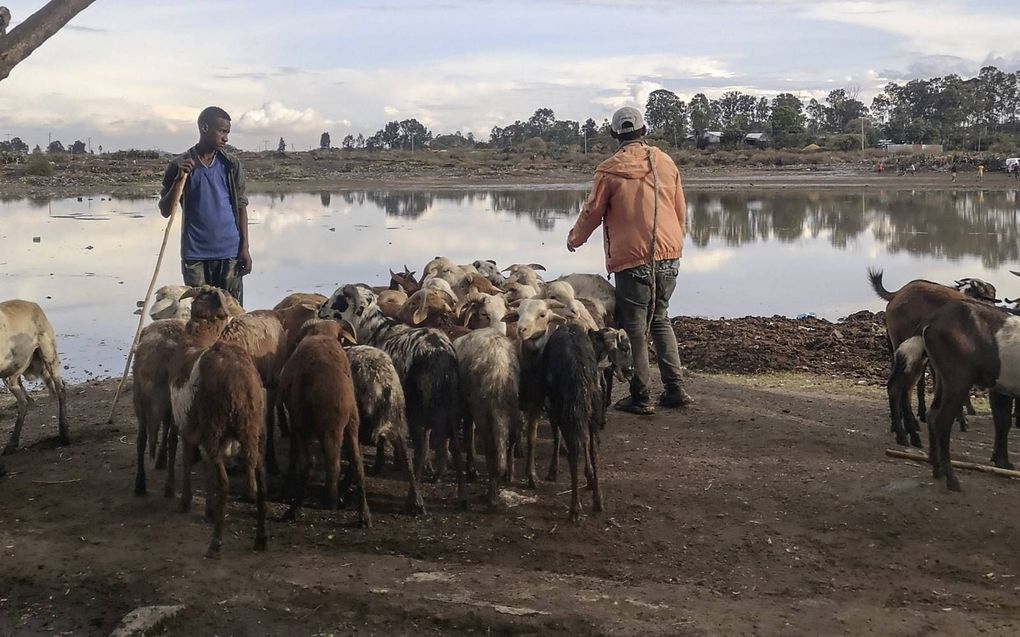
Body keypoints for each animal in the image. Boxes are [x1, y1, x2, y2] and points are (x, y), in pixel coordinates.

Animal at [0, 299, 67, 454]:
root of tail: (33, 304)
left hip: (48, 354)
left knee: (60, 389)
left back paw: (64, 434)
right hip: (11, 375)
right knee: (24, 401)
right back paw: (12, 443)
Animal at [167, 287, 265, 554]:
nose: (242, 311)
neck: (198, 339)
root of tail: (238, 380)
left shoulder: (187, 428)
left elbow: (189, 462)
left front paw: (186, 503)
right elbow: (208, 471)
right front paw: (208, 511)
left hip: (216, 428)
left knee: (224, 482)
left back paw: (215, 543)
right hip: (249, 428)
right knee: (259, 477)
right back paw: (261, 540)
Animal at [279, 320, 371, 525]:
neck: (323, 334)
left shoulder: (295, 421)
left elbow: (296, 454)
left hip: (303, 423)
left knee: (309, 465)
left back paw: (293, 511)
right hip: (352, 422)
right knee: (357, 465)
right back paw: (363, 516)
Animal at [318, 285, 467, 507]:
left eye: (340, 299)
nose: (320, 309)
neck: (375, 331)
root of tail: (439, 353)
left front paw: (378, 465)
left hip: (416, 406)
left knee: (420, 450)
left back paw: (413, 498)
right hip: (450, 405)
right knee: (455, 446)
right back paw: (461, 495)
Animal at [889, 297, 1020, 491]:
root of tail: (932, 321)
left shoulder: (1000, 387)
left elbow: (1003, 421)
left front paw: (1002, 462)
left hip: (943, 379)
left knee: (932, 414)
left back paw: (938, 469)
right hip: (958, 380)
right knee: (942, 419)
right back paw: (951, 479)